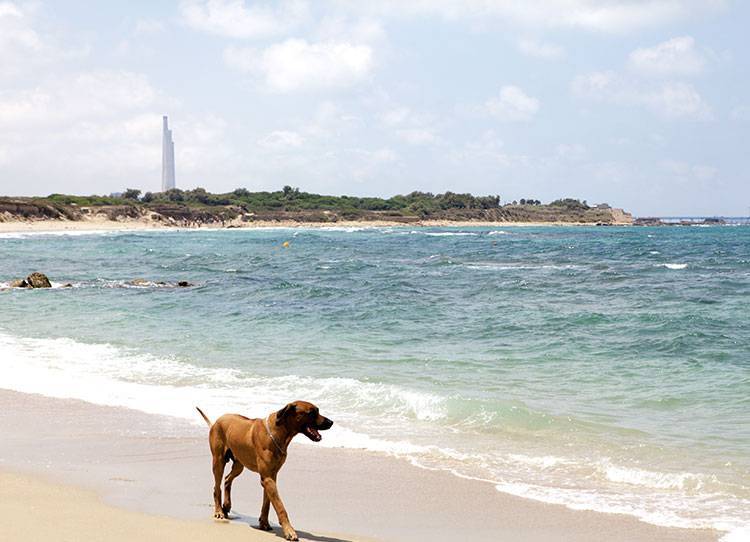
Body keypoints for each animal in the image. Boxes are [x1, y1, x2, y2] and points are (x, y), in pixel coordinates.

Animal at [197, 402, 334, 540]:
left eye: (317, 410)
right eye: (311, 412)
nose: (331, 422)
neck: (278, 433)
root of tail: (216, 421)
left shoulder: (272, 476)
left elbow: (267, 503)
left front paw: (264, 523)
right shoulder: (268, 478)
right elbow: (280, 506)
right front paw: (289, 530)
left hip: (239, 464)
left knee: (227, 479)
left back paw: (226, 505)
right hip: (218, 461)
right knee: (217, 487)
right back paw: (219, 510)